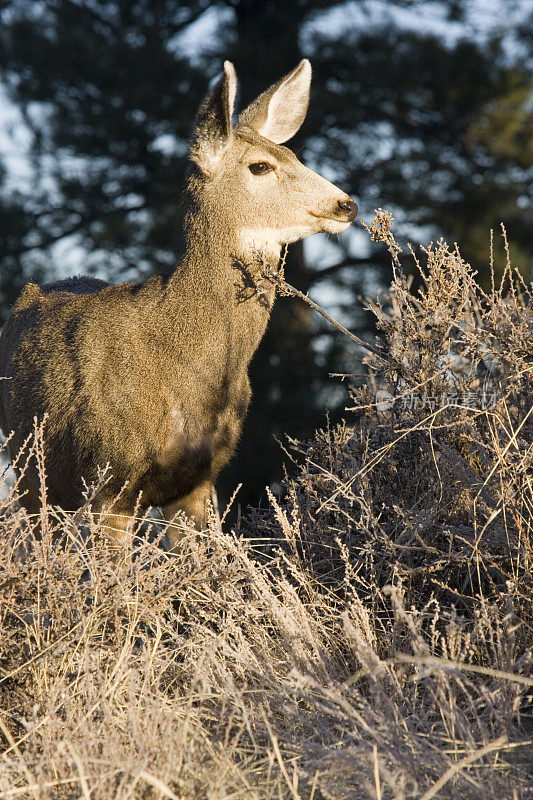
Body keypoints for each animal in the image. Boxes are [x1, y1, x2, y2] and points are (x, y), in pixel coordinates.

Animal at [1, 57, 358, 552]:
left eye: (297, 157)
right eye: (261, 166)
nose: (346, 204)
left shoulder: (200, 480)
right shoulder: (110, 479)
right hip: (28, 468)